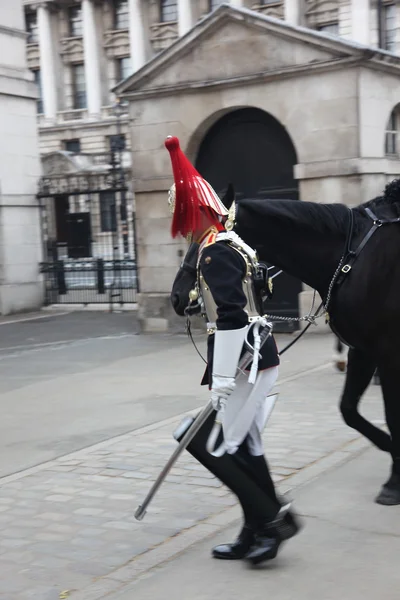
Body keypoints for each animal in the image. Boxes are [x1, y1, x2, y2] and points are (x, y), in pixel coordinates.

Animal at [170, 184, 398, 506]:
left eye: (206, 239)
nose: (176, 296)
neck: (351, 257)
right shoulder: (364, 350)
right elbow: (349, 410)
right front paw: (390, 451)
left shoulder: (388, 352)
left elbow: (391, 415)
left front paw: (393, 481)